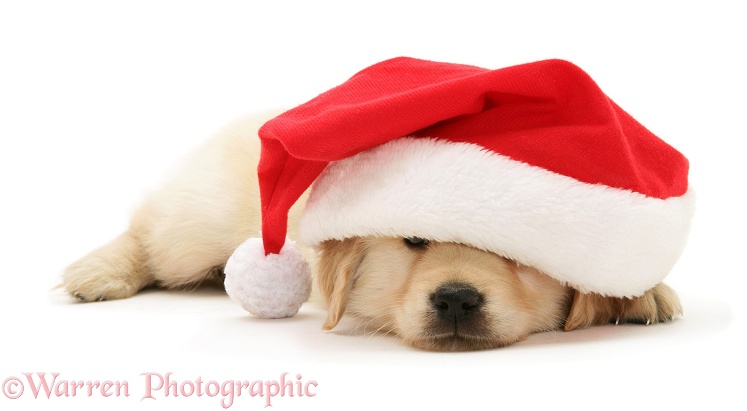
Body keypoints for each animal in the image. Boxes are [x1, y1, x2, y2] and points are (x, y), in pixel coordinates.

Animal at [64, 114, 684, 352]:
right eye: (413, 242)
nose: (456, 300)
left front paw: (638, 294)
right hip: (198, 227)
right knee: (148, 232)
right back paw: (96, 273)